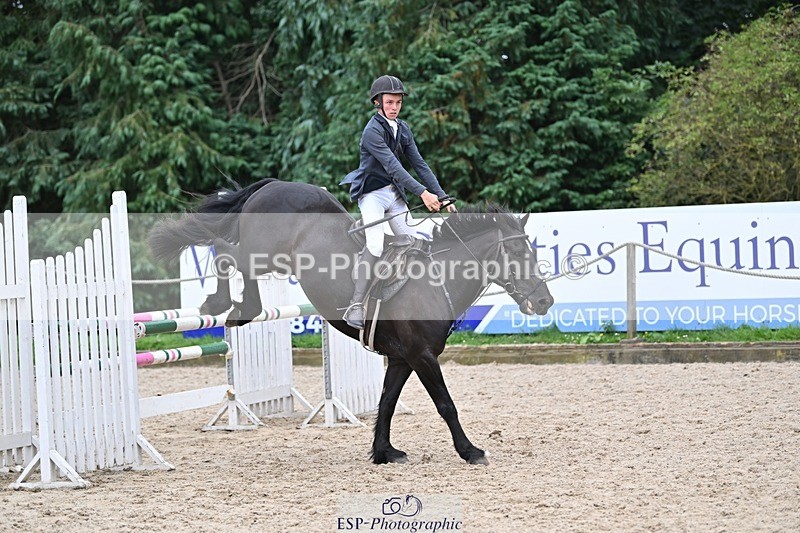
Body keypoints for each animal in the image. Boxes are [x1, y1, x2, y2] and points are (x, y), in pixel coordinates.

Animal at [149, 178, 554, 465]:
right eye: (515, 251)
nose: (544, 301)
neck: (436, 281)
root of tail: (275, 184)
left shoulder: (402, 358)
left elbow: (386, 403)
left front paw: (384, 451)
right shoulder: (422, 356)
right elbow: (445, 404)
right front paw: (470, 451)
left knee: (226, 254)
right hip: (261, 254)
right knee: (224, 253)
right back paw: (228, 304)